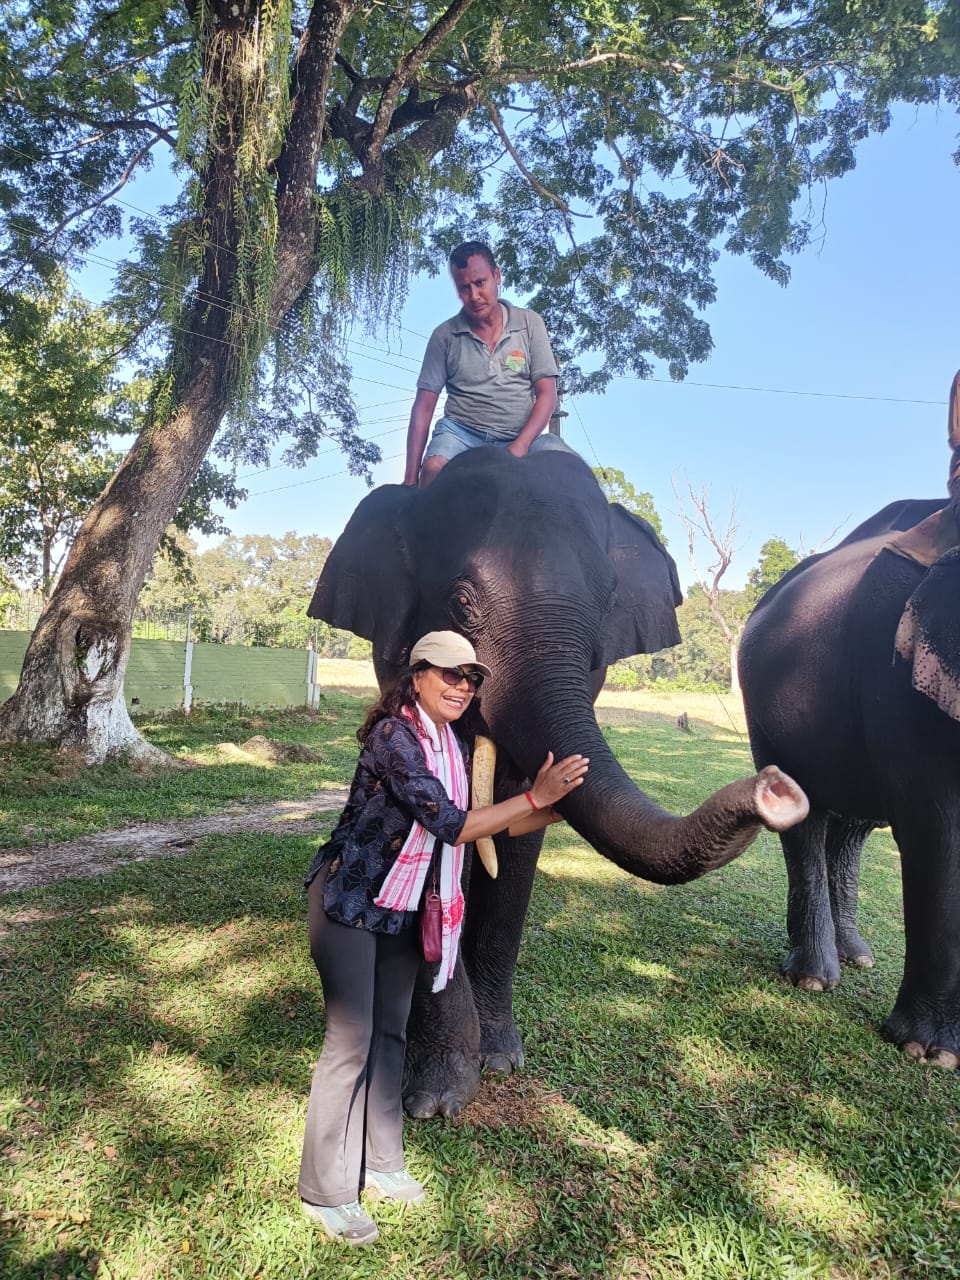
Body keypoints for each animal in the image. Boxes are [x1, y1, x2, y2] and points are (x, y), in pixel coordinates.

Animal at [309, 448, 814, 1111]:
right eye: (461, 603)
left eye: (606, 604)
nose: (776, 787)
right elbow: (445, 835)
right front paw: (439, 1097)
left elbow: (516, 846)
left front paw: (500, 1059)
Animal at [737, 494, 960, 1064]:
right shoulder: (900, 687)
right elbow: (938, 833)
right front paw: (928, 1052)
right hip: (765, 713)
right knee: (807, 817)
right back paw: (814, 977)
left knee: (853, 828)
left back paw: (857, 956)